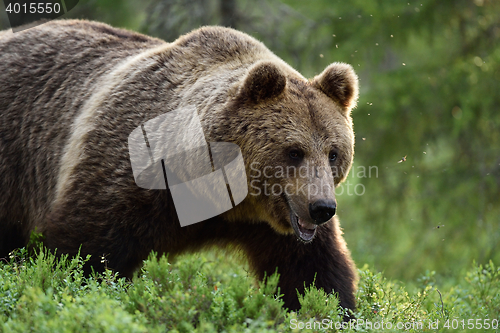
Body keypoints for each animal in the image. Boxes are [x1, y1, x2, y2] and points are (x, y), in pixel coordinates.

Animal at [0, 20, 360, 312]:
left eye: (333, 153)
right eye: (294, 151)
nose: (321, 208)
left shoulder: (273, 226)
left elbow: (313, 274)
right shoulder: (126, 180)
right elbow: (84, 251)